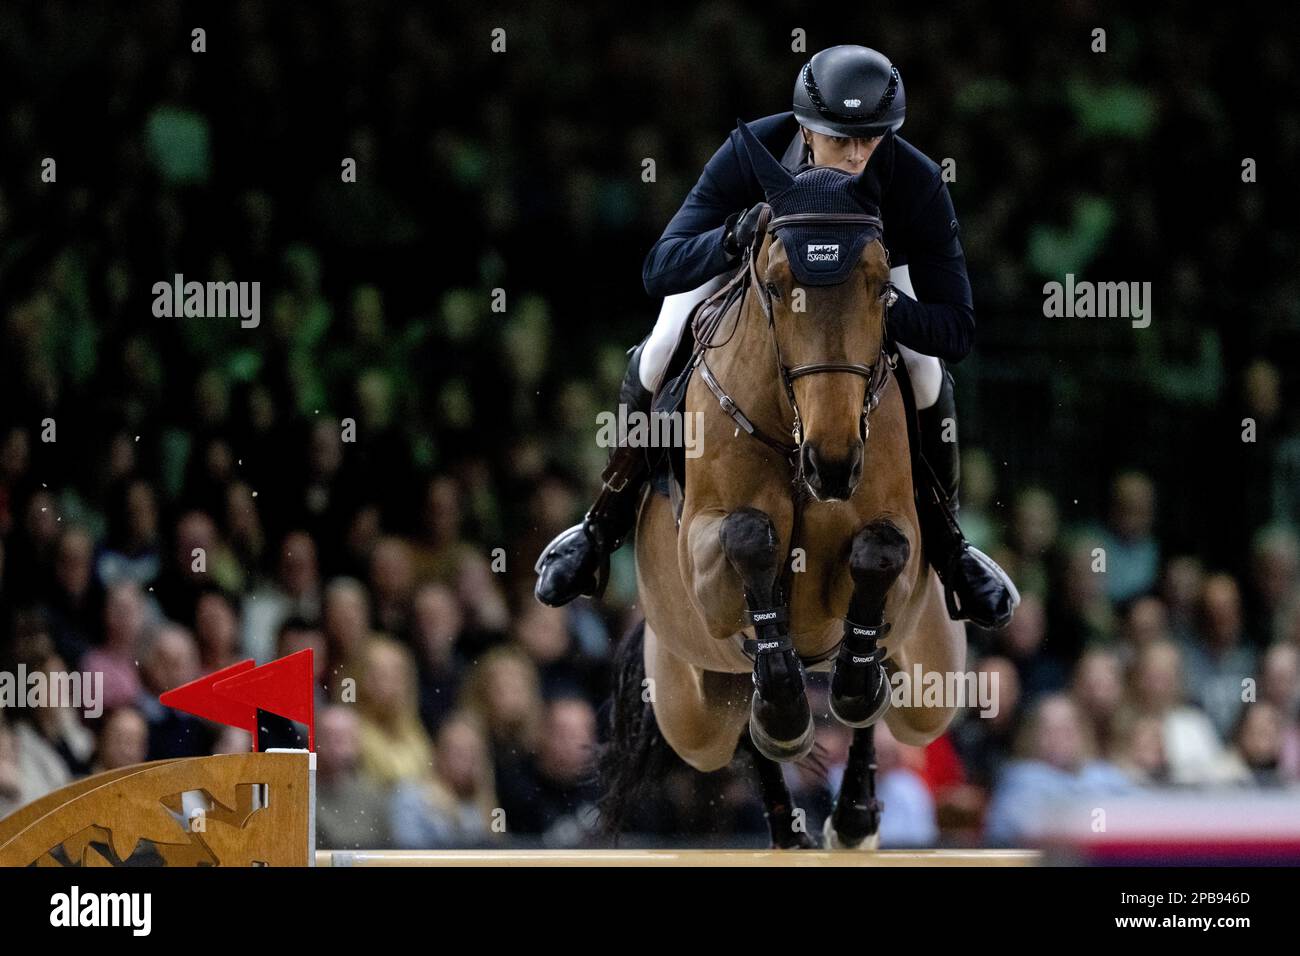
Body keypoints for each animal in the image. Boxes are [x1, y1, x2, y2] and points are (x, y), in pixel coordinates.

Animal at [598, 121, 967, 853]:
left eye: (880, 286)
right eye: (774, 284)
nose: (833, 462)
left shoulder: (900, 550)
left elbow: (880, 556)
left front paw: (847, 685)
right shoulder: (705, 558)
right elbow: (750, 538)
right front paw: (790, 711)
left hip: (931, 677)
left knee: (890, 706)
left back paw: (851, 819)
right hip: (689, 702)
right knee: (738, 730)